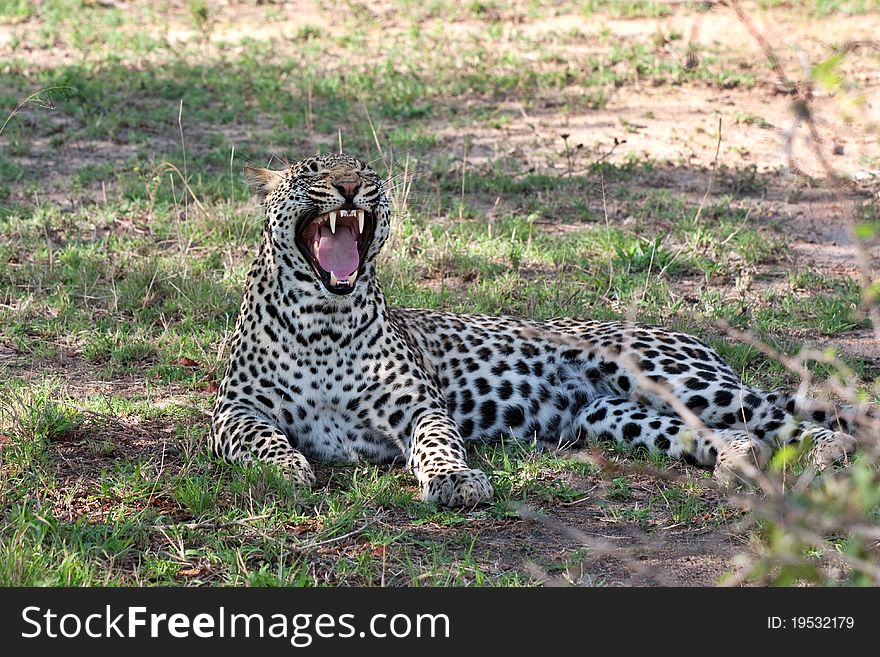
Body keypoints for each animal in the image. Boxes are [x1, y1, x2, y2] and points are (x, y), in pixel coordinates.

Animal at [208, 154, 872, 508]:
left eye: (366, 170)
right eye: (313, 172)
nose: (351, 187)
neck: (324, 317)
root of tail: (694, 339)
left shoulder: (417, 406)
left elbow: (438, 443)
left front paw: (456, 481)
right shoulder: (235, 411)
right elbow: (262, 440)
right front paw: (288, 469)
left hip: (676, 378)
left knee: (784, 412)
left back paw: (827, 450)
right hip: (610, 417)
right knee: (726, 433)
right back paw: (740, 462)